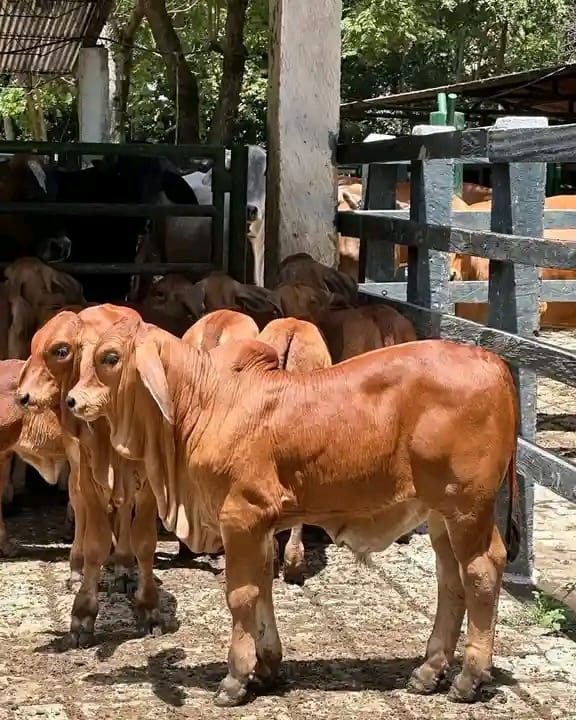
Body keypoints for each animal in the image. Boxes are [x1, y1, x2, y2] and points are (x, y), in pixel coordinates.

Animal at [64, 316, 520, 706]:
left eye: (110, 358)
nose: (70, 400)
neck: (206, 403)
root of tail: (493, 362)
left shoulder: (240, 518)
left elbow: (241, 596)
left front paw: (236, 679)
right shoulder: (262, 525)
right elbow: (264, 586)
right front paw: (267, 667)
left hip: (467, 507)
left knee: (481, 572)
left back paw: (469, 678)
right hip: (440, 514)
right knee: (450, 579)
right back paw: (429, 671)